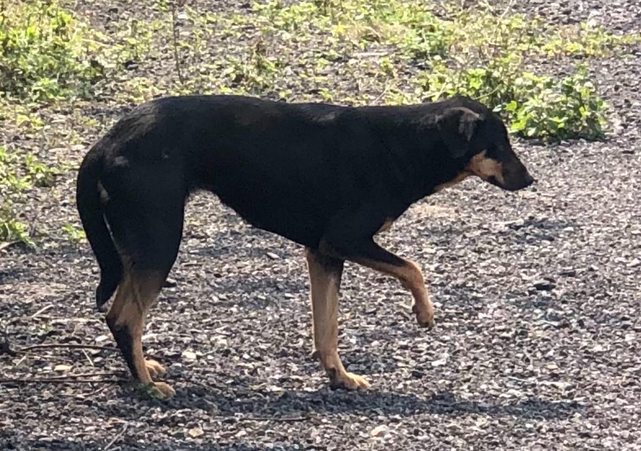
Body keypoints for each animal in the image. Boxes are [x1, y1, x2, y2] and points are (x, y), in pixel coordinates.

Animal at [76, 94, 534, 399]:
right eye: (498, 145)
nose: (530, 180)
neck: (405, 144)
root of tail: (106, 142)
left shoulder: (324, 254)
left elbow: (326, 326)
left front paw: (338, 375)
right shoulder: (346, 239)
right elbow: (413, 268)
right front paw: (424, 312)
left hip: (142, 245)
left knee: (123, 315)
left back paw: (142, 366)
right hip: (160, 240)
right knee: (124, 317)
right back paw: (147, 384)